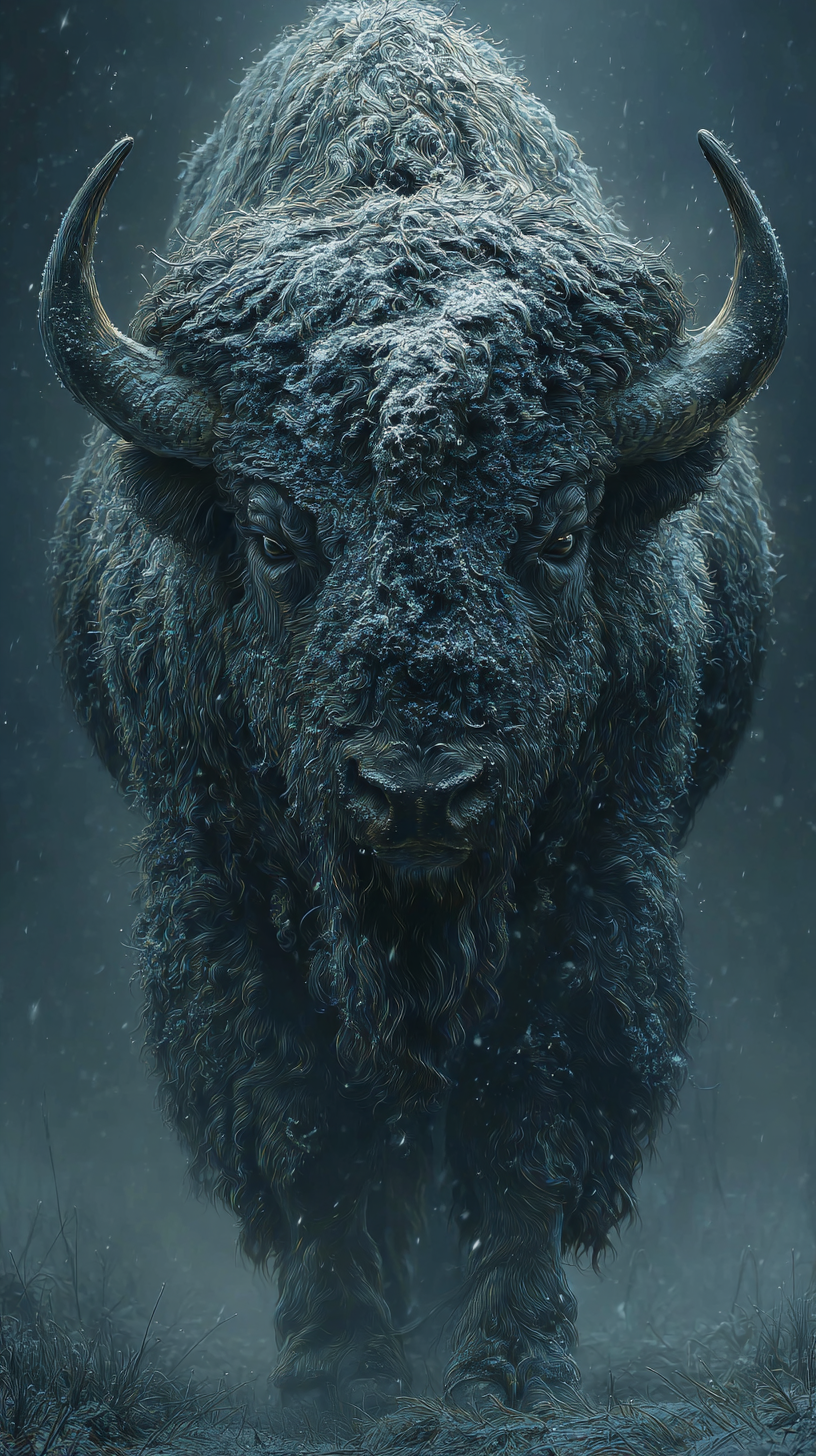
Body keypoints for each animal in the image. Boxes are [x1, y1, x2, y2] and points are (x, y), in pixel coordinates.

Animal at [40, 0, 786, 1409]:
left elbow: (529, 1109)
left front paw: (509, 1366)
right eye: (276, 533)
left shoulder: (591, 885)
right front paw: (339, 1366)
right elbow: (314, 1121)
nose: (421, 792)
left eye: (559, 528)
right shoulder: (230, 893)